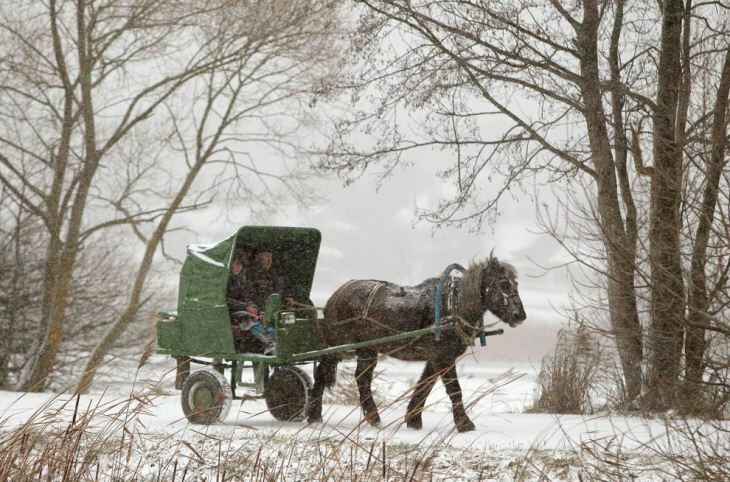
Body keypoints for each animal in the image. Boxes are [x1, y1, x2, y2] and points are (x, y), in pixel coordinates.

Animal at [304, 254, 528, 432]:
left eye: (515, 284)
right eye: (504, 284)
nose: (520, 316)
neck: (452, 307)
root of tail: (337, 294)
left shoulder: (435, 359)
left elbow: (424, 386)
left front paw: (413, 420)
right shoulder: (444, 358)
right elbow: (454, 390)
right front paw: (465, 424)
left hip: (367, 349)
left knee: (362, 379)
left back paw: (372, 417)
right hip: (338, 346)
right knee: (323, 373)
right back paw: (314, 415)